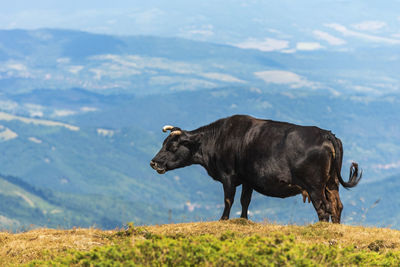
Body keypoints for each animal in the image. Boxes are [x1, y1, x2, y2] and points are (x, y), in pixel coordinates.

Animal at [151, 115, 362, 224]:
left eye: (172, 146)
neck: (217, 139)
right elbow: (245, 201)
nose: (153, 162)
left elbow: (229, 200)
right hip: (331, 183)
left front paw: (223, 219)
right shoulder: (248, 180)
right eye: (163, 143)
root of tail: (326, 134)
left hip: (315, 185)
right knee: (336, 206)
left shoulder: (228, 177)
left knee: (324, 208)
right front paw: (243, 219)